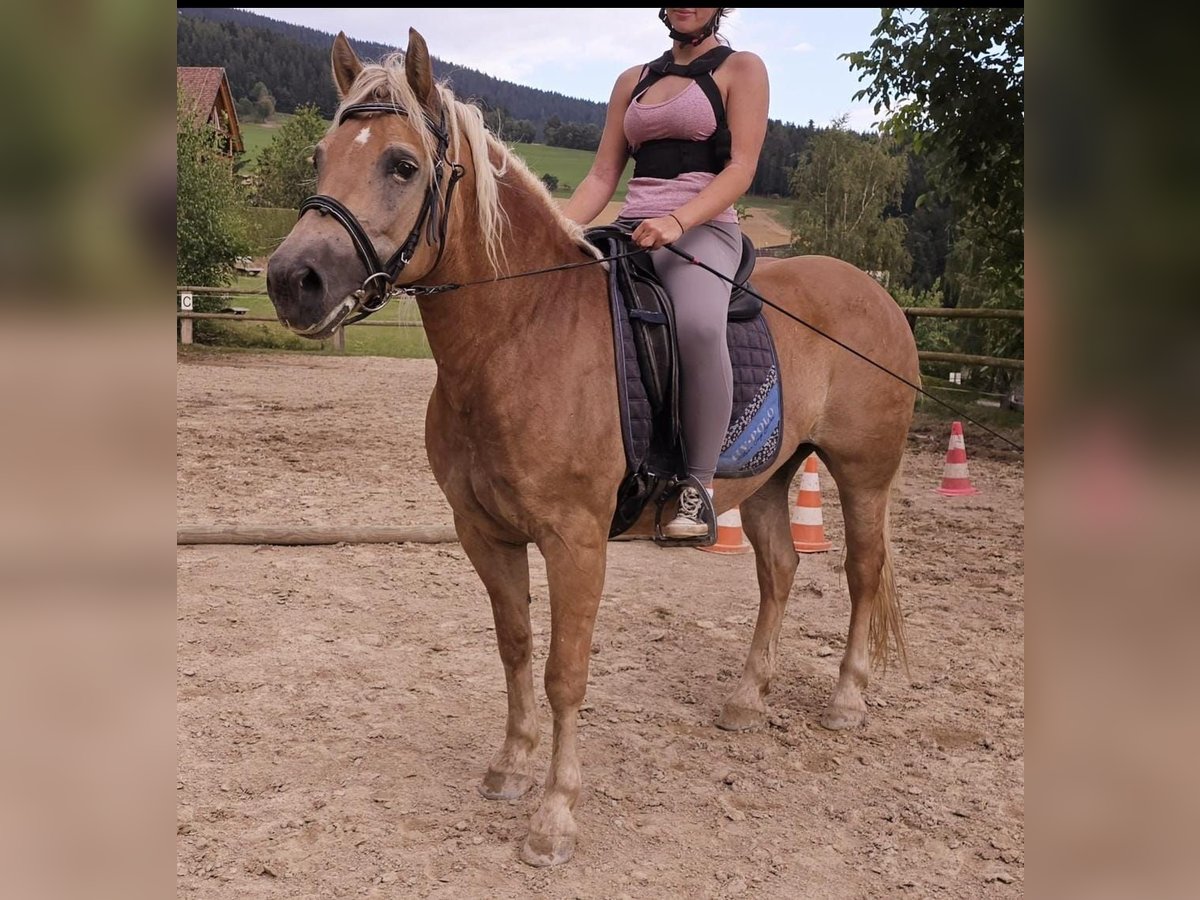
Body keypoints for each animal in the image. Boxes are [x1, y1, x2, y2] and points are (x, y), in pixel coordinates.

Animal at [265, 28, 916, 868]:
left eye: (401, 165)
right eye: (319, 155)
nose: (293, 280)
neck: (520, 331)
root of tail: (876, 293)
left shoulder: (575, 542)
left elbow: (564, 672)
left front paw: (554, 817)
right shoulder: (485, 533)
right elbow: (515, 646)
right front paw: (511, 768)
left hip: (865, 475)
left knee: (863, 574)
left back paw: (845, 700)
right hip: (773, 475)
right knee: (779, 571)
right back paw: (745, 699)